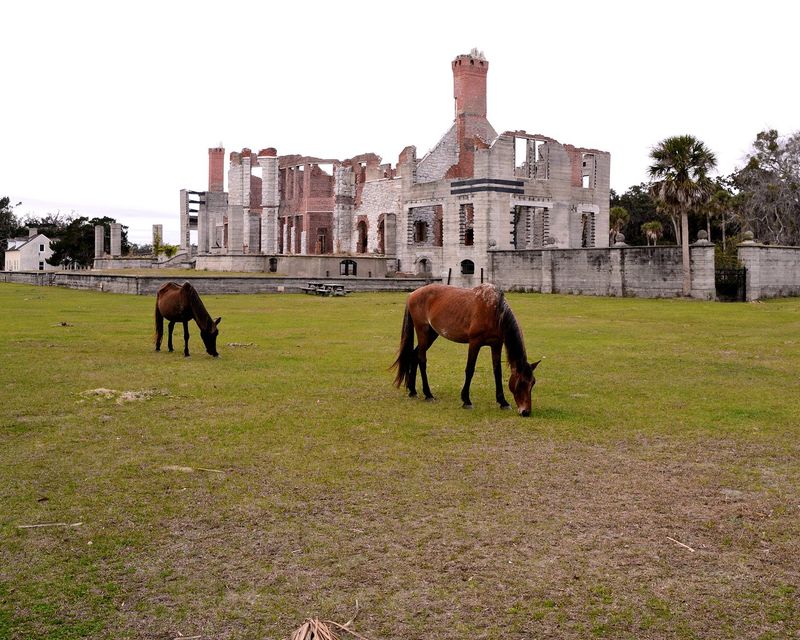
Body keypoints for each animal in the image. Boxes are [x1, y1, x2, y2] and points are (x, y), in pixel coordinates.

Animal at [392, 283, 540, 416]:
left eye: (532, 383)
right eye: (521, 383)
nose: (526, 411)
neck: (494, 311)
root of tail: (413, 294)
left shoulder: (496, 344)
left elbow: (497, 372)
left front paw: (503, 402)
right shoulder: (474, 343)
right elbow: (470, 369)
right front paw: (466, 400)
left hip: (432, 334)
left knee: (414, 355)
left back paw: (413, 391)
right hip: (423, 331)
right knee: (421, 359)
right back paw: (428, 394)